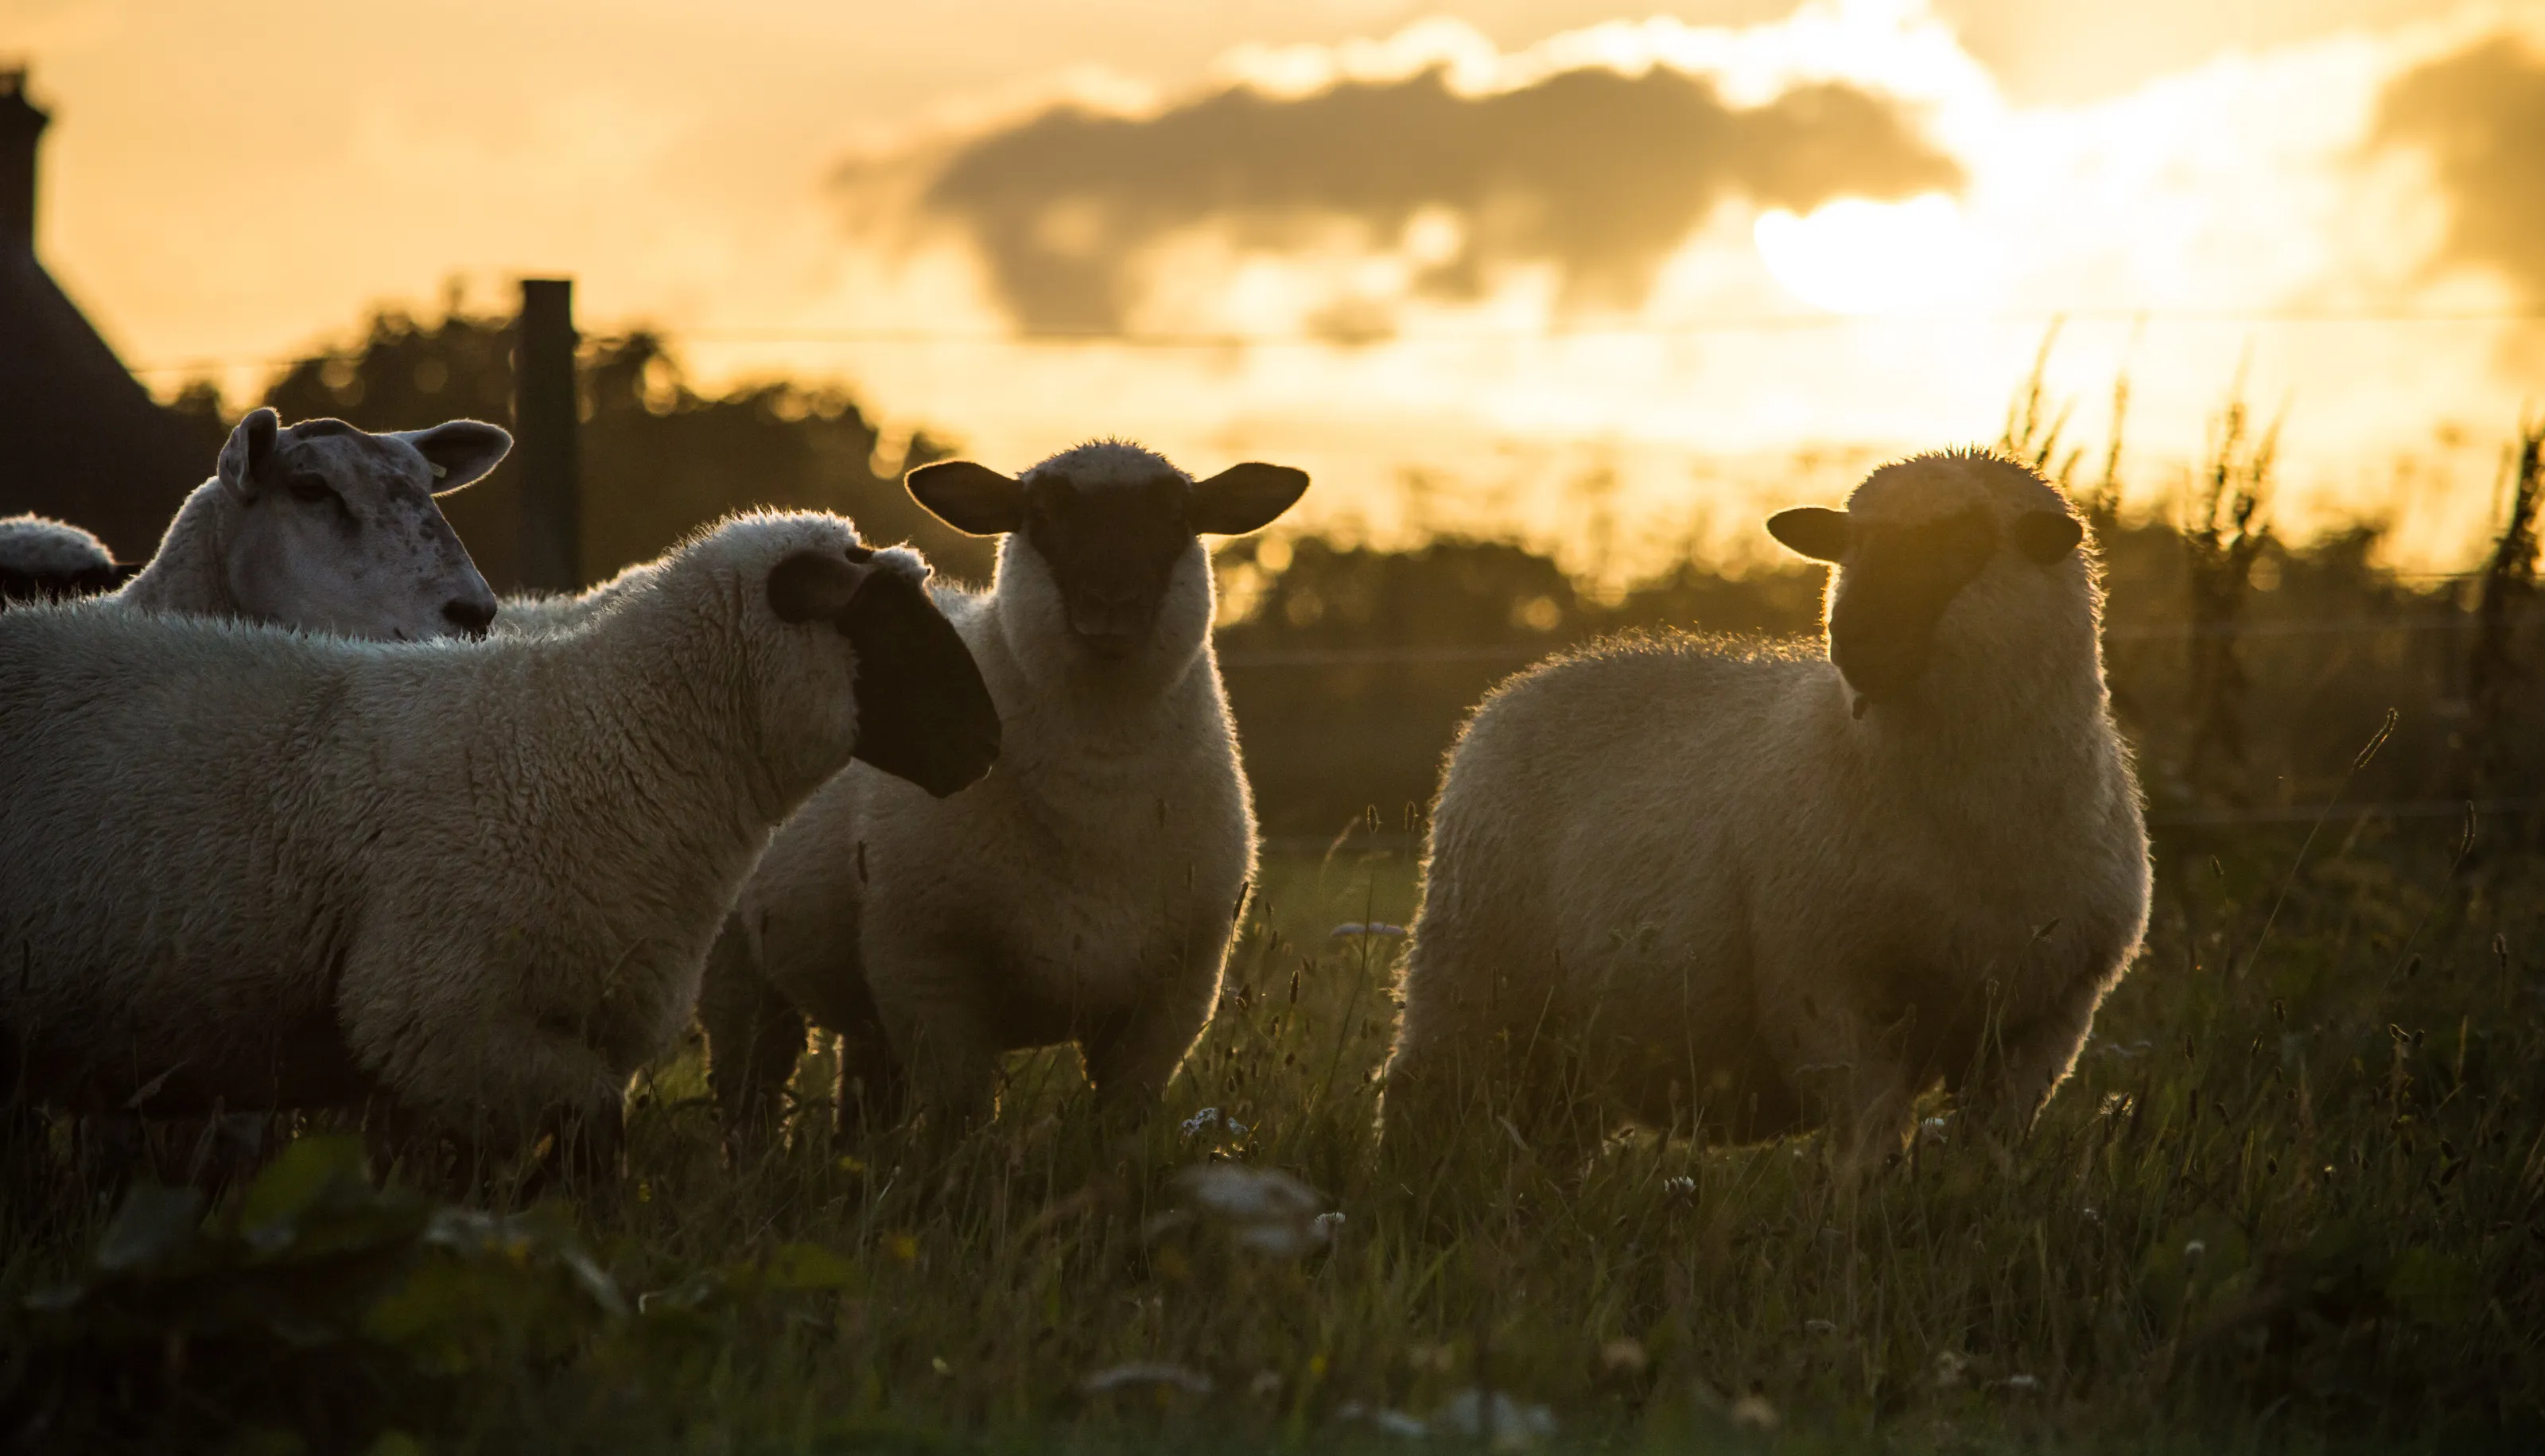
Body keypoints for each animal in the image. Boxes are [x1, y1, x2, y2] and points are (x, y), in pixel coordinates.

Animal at [697, 441, 1309, 1141]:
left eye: (1178, 518)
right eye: (1040, 515)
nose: (1111, 608)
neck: (1100, 799)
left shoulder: (1172, 998)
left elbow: (1119, 1127)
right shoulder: (932, 975)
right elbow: (959, 1123)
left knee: (864, 1092)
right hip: (737, 962)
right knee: (752, 1084)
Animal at [1379, 449, 2150, 1176]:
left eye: (1967, 543)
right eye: (1849, 547)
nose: (1854, 636)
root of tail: (1521, 683)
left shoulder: (2050, 1016)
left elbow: (1985, 1151)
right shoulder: (1824, 989)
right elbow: (1868, 1143)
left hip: (1575, 1037)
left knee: (1554, 1132)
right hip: (1474, 973)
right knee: (1420, 1091)